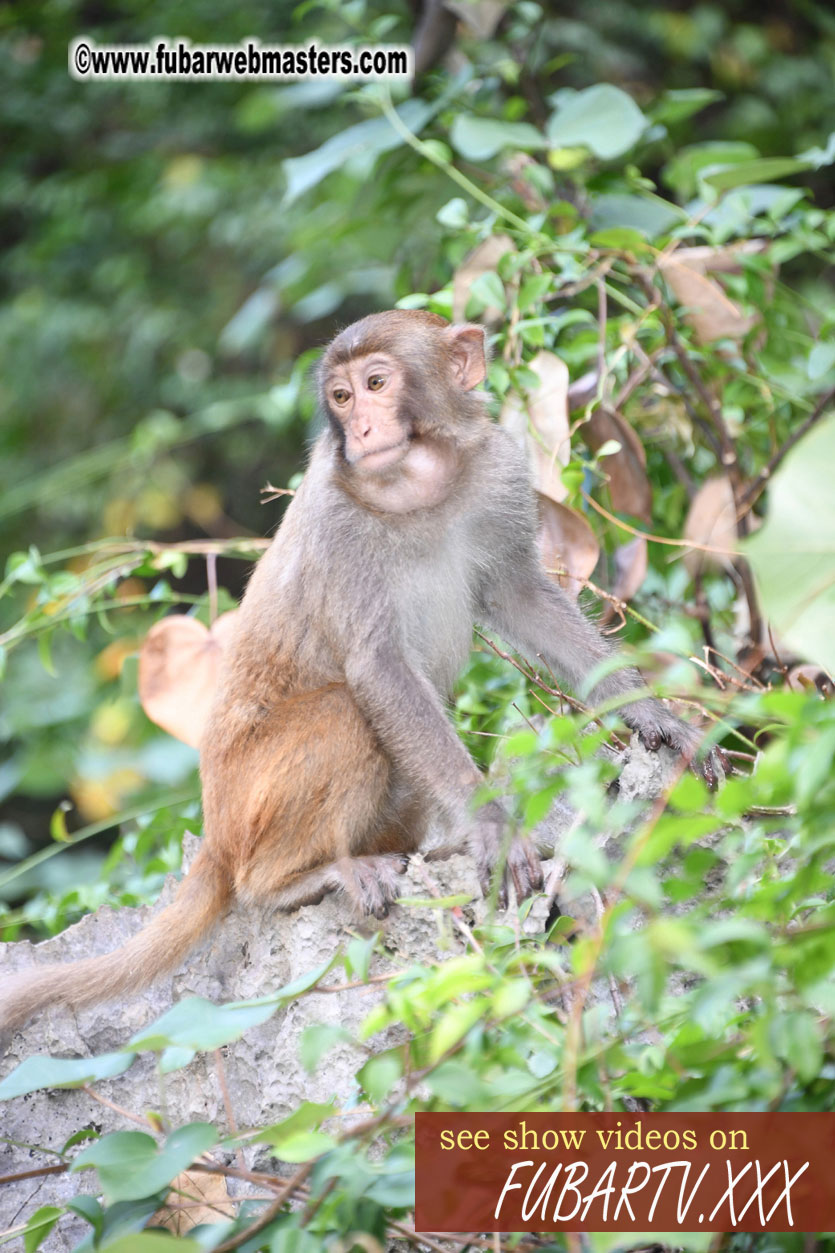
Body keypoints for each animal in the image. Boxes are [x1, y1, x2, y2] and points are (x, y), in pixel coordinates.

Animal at [0, 310, 722, 1037]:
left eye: (377, 384)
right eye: (342, 397)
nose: (363, 429)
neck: (418, 489)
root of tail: (215, 836)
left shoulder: (496, 469)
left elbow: (522, 596)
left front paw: (657, 716)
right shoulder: (336, 523)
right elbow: (376, 669)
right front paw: (492, 824)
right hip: (250, 803)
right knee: (344, 715)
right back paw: (293, 881)